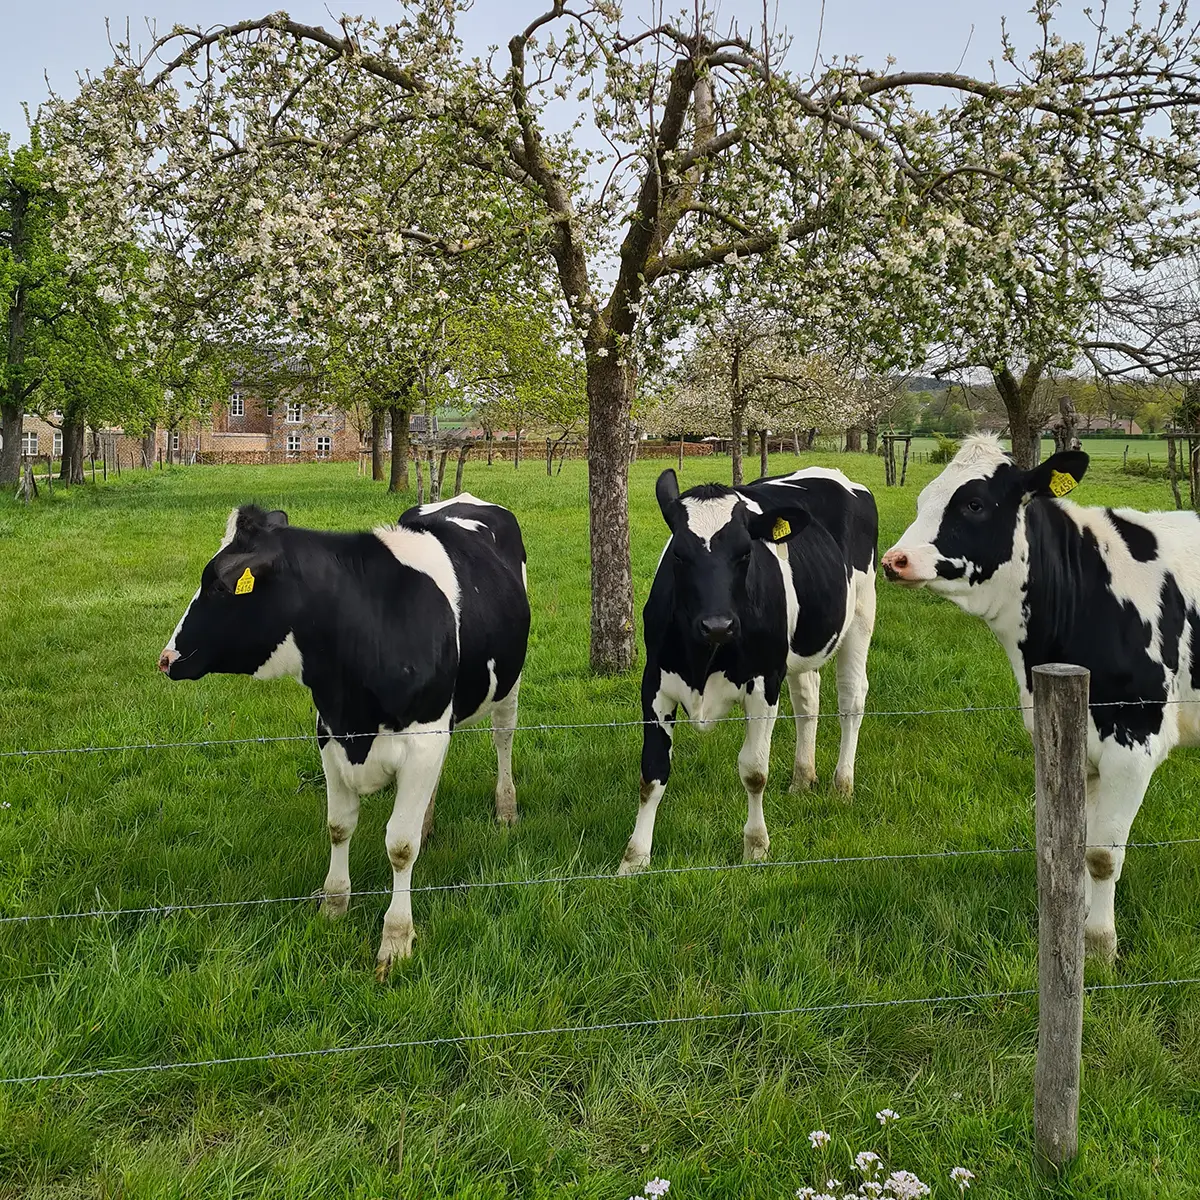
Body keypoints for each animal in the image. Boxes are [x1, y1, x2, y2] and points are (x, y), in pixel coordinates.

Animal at [158, 496, 530, 979]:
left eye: (221, 585)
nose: (167, 658)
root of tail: (465, 500)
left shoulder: (423, 739)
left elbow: (400, 846)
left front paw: (396, 939)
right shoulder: (329, 733)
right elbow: (338, 826)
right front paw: (333, 906)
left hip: (508, 684)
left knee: (503, 738)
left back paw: (505, 809)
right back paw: (429, 820)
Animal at [619, 467, 878, 874]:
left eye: (745, 554)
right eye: (678, 553)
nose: (718, 625)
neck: (704, 659)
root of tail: (831, 473)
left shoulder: (764, 685)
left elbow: (754, 772)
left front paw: (756, 846)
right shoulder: (655, 685)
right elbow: (652, 772)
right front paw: (635, 858)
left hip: (861, 616)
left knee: (851, 700)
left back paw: (842, 785)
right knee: (808, 699)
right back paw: (802, 779)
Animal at [881, 434, 1200, 961]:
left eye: (974, 503)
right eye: (924, 498)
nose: (894, 560)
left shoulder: (1135, 740)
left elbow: (1101, 854)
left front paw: (1099, 944)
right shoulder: (1072, 743)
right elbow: (1076, 845)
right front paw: (1076, 925)